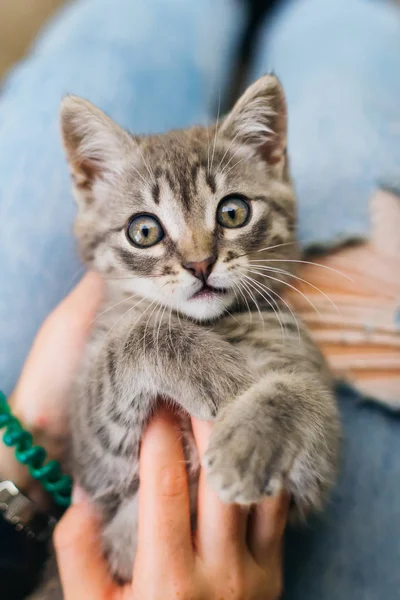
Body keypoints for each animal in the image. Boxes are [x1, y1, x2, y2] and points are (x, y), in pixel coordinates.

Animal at [58, 74, 340, 580]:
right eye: (143, 231)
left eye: (233, 212)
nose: (200, 264)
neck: (214, 325)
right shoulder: (97, 471)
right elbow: (135, 337)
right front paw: (216, 371)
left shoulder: (308, 487)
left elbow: (307, 394)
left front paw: (248, 442)